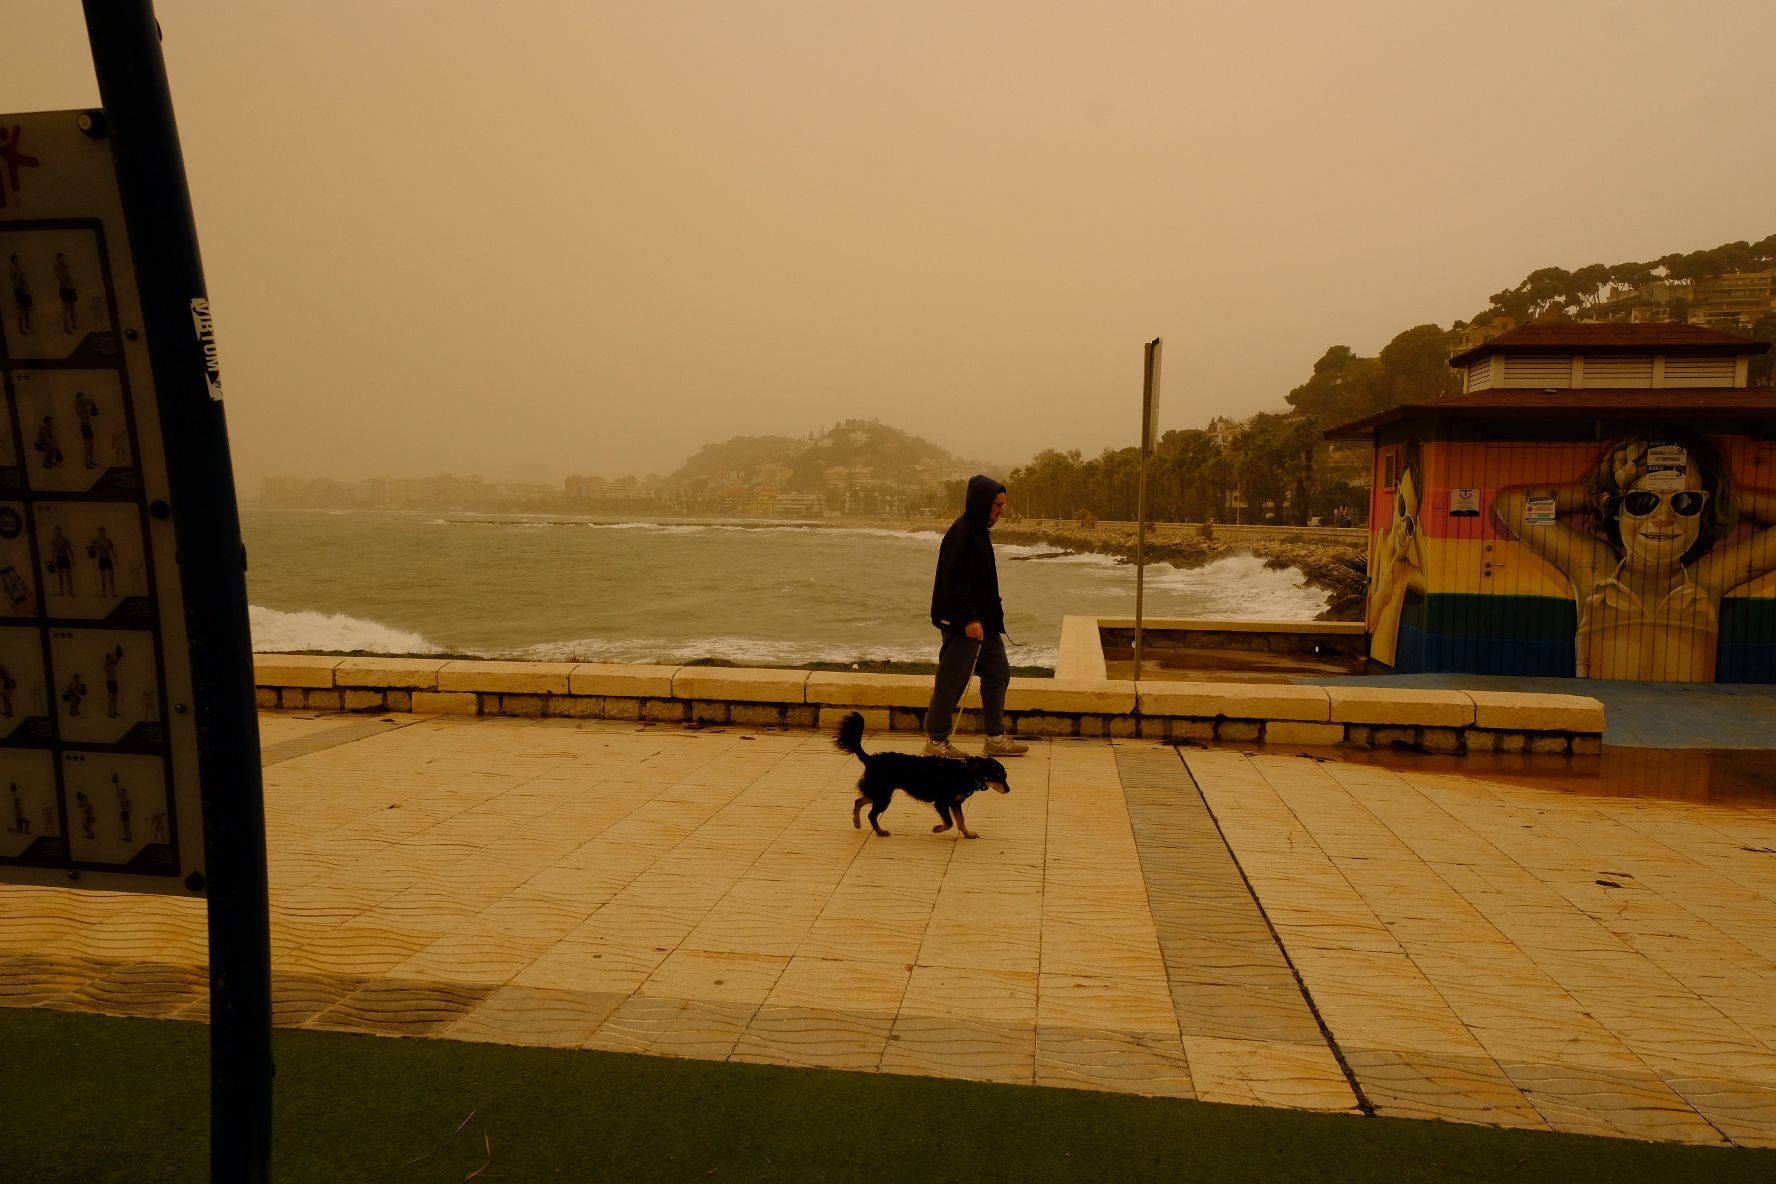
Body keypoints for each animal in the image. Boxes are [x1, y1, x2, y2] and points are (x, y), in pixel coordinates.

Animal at [834, 710, 1015, 837]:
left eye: (1005, 776)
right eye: (999, 776)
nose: (1008, 790)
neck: (967, 772)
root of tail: (870, 759)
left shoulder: (955, 803)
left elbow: (961, 821)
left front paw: (968, 834)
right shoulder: (942, 803)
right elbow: (950, 822)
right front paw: (938, 829)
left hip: (879, 792)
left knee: (858, 801)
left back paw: (857, 823)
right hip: (883, 794)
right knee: (871, 814)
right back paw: (880, 832)